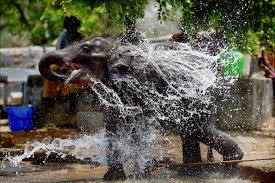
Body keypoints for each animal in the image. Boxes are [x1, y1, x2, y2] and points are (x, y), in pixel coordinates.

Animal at [38, 36, 244, 180]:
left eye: (85, 48)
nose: (61, 73)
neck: (118, 47)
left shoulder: (139, 82)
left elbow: (139, 124)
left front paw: (141, 176)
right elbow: (112, 124)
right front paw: (113, 178)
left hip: (202, 98)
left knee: (199, 129)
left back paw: (231, 164)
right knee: (190, 131)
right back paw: (192, 170)